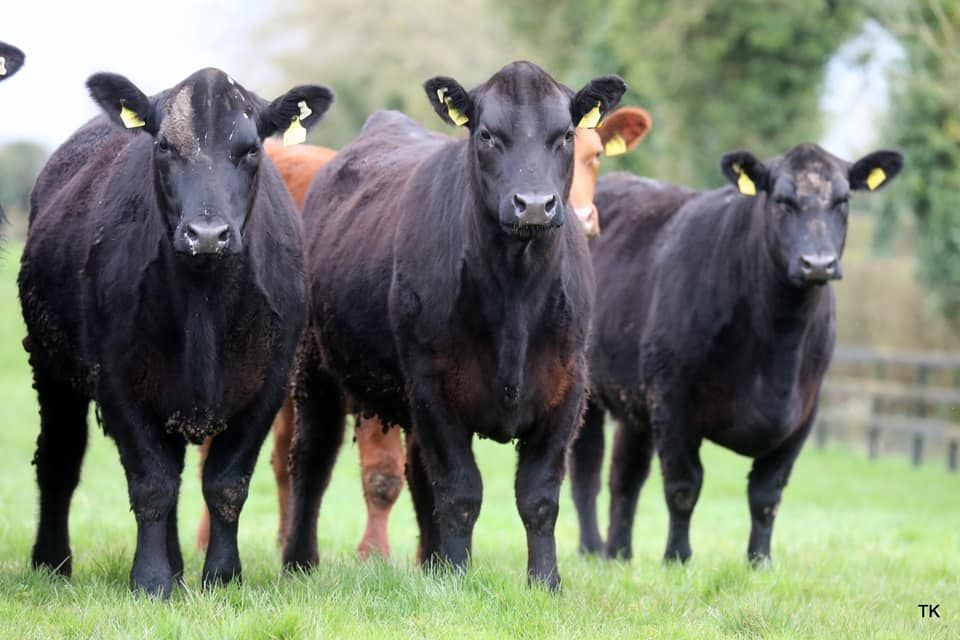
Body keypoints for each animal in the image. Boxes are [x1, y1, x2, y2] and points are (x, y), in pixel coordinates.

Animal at [19, 67, 332, 597]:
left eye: (251, 148)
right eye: (164, 146)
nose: (206, 234)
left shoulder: (267, 386)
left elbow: (226, 484)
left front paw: (222, 577)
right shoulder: (117, 382)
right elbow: (152, 484)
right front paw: (150, 581)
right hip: (51, 367)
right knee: (60, 458)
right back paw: (52, 561)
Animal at [280, 61, 625, 589]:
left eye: (566, 134)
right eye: (486, 134)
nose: (533, 204)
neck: (515, 295)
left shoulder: (567, 390)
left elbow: (539, 497)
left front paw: (544, 582)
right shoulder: (434, 389)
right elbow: (461, 491)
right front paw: (458, 580)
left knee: (418, 477)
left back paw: (430, 563)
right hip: (315, 367)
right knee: (312, 460)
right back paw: (299, 562)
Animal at [568, 144, 903, 564]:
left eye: (843, 200)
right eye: (782, 200)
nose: (818, 263)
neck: (778, 343)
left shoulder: (805, 413)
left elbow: (766, 494)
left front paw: (759, 562)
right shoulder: (672, 399)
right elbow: (684, 485)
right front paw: (677, 557)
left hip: (636, 401)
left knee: (626, 475)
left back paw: (619, 553)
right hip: (588, 388)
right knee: (587, 470)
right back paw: (592, 547)